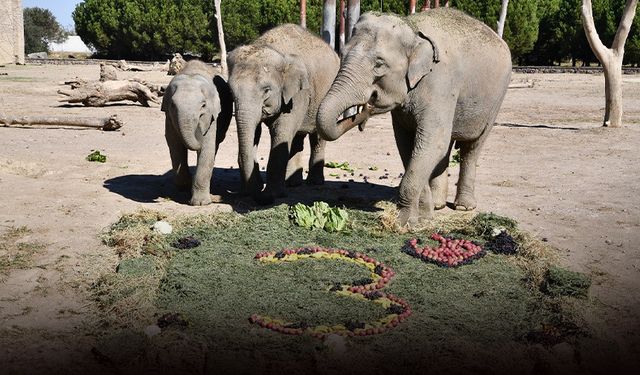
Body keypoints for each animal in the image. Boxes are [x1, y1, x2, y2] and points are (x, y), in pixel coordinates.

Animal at [161, 60, 234, 206]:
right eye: (172, 105)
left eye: (203, 105)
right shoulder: (169, 117)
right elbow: (174, 145)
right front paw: (184, 186)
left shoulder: (212, 117)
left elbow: (207, 147)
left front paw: (200, 203)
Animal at [229, 23, 342, 204]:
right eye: (231, 91)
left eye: (266, 90)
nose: (254, 193)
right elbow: (255, 132)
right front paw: (251, 190)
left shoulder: (299, 94)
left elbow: (281, 131)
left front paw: (271, 195)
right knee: (296, 138)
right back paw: (292, 183)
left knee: (317, 138)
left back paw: (314, 182)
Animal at [318, 8, 512, 226]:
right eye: (342, 54)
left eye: (379, 64)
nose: (367, 108)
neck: (412, 28)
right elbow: (408, 144)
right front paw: (424, 216)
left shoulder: (440, 84)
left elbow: (431, 142)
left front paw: (404, 223)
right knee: (446, 149)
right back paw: (438, 205)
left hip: (496, 100)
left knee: (472, 147)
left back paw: (464, 206)